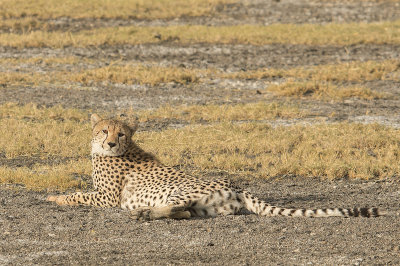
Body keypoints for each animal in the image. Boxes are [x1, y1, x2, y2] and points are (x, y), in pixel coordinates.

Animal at [47, 114, 384, 220]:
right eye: (104, 130)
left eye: (121, 134)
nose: (110, 144)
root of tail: (235, 185)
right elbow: (78, 192)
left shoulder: (106, 198)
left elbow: (77, 194)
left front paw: (53, 198)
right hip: (206, 206)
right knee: (184, 213)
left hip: (180, 191)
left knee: (173, 207)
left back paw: (143, 213)